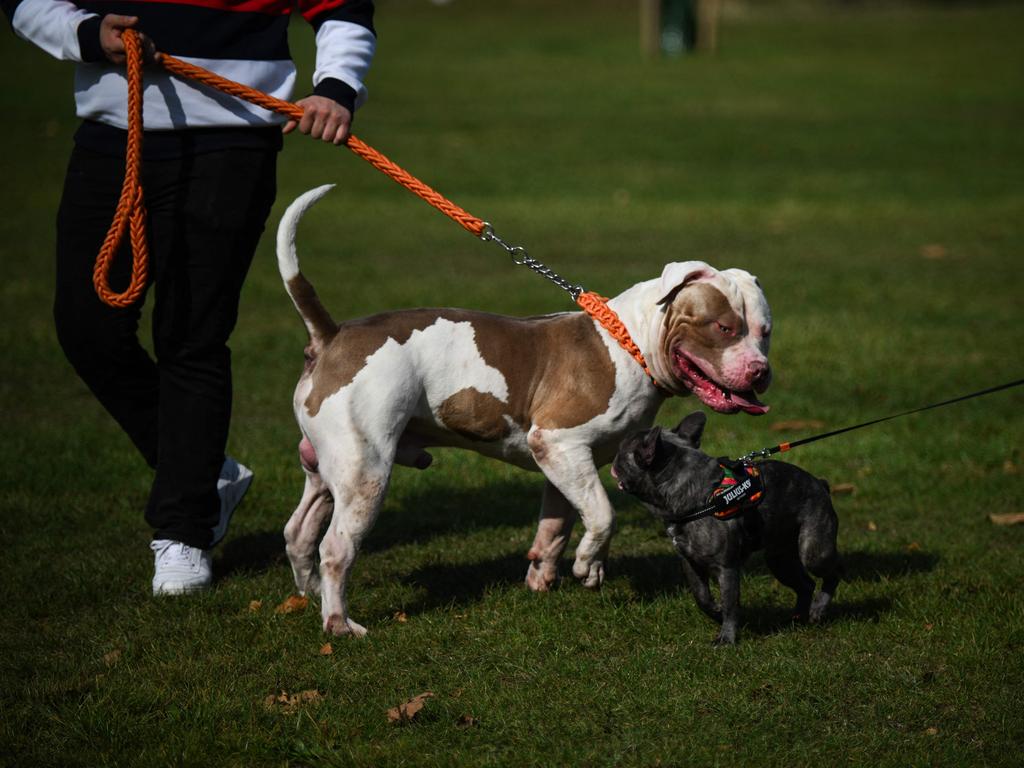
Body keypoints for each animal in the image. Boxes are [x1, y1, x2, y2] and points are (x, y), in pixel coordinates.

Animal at [276, 186, 770, 638]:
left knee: (299, 533)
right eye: (723, 327)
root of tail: (332, 335)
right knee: (335, 548)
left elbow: (560, 522)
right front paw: (589, 566)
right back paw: (338, 623)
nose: (761, 371)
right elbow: (603, 514)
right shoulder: (558, 441)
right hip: (366, 473)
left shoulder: (569, 460)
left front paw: (542, 577)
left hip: (330, 469)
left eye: (764, 330)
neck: (631, 342)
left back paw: (311, 596)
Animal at [614, 411, 839, 647]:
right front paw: (716, 612)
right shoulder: (690, 563)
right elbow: (701, 596)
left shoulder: (727, 568)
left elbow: (731, 604)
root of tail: (821, 485)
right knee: (806, 584)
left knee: (834, 572)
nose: (614, 459)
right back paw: (797, 617)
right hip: (779, 559)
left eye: (621, 453)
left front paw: (727, 638)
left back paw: (819, 608)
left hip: (813, 551)